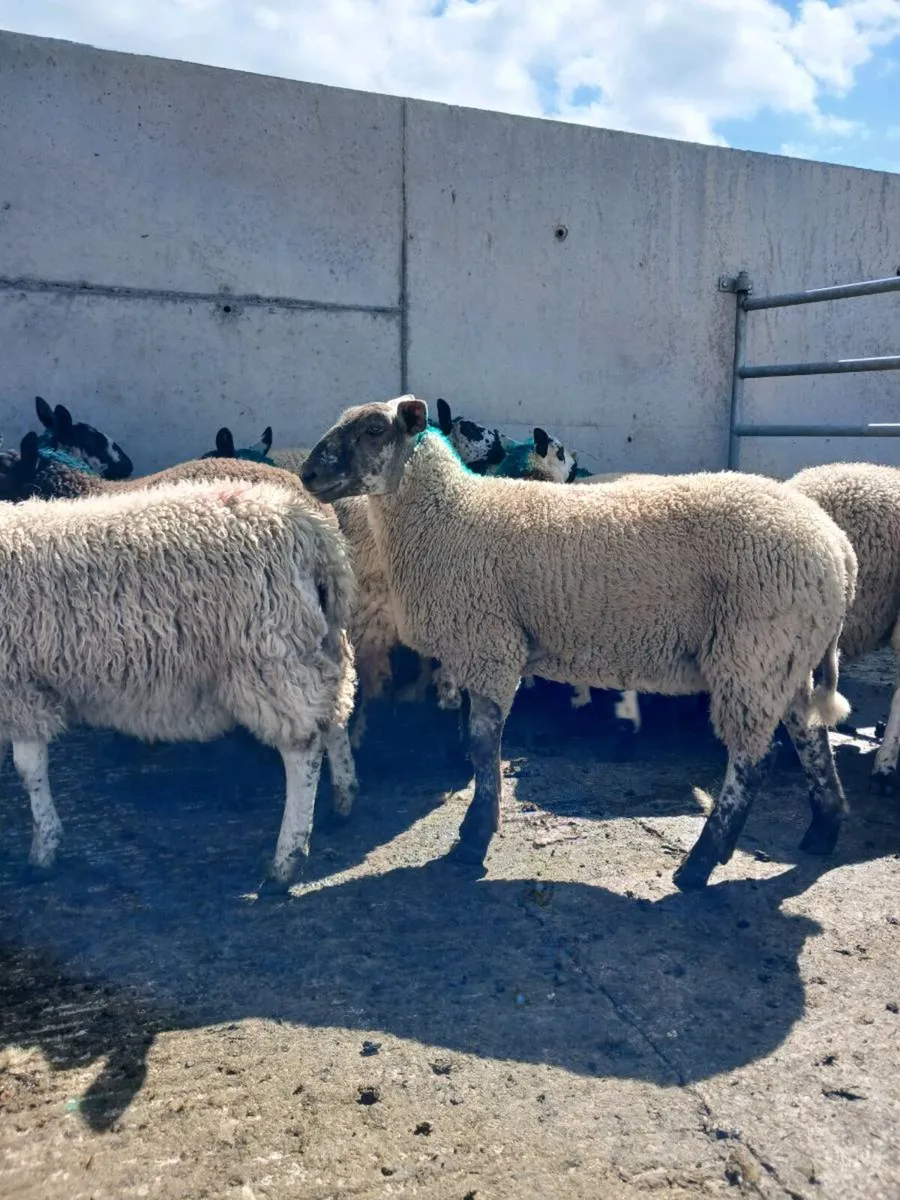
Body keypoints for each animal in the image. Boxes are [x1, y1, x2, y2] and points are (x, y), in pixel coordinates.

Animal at [0, 476, 357, 888]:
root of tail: (313, 530)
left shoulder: (18, 688)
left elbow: (29, 771)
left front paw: (43, 849)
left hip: (268, 655)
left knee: (303, 746)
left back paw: (286, 860)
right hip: (317, 643)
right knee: (334, 715)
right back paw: (344, 800)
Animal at [300, 395, 858, 890]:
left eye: (374, 430)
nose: (306, 475)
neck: (450, 516)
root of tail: (837, 549)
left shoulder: (492, 644)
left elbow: (483, 746)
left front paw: (473, 838)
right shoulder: (483, 648)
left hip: (753, 650)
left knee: (751, 761)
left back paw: (700, 864)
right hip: (785, 654)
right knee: (810, 737)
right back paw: (823, 830)